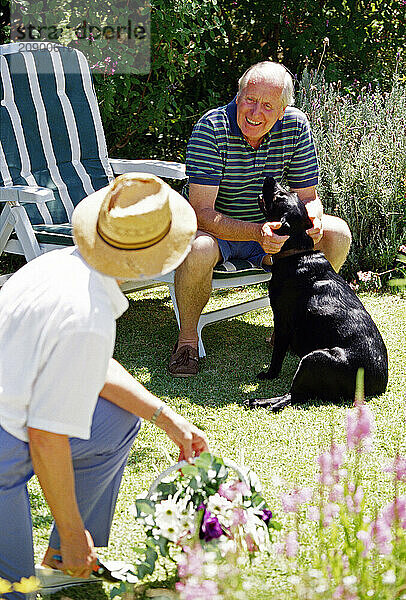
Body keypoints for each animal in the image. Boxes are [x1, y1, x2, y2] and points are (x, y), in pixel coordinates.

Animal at [249, 177, 388, 412]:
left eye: (278, 196)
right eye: (289, 193)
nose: (270, 179)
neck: (298, 253)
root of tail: (376, 385)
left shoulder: (283, 321)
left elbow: (277, 355)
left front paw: (269, 374)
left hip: (313, 359)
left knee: (292, 397)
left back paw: (259, 401)